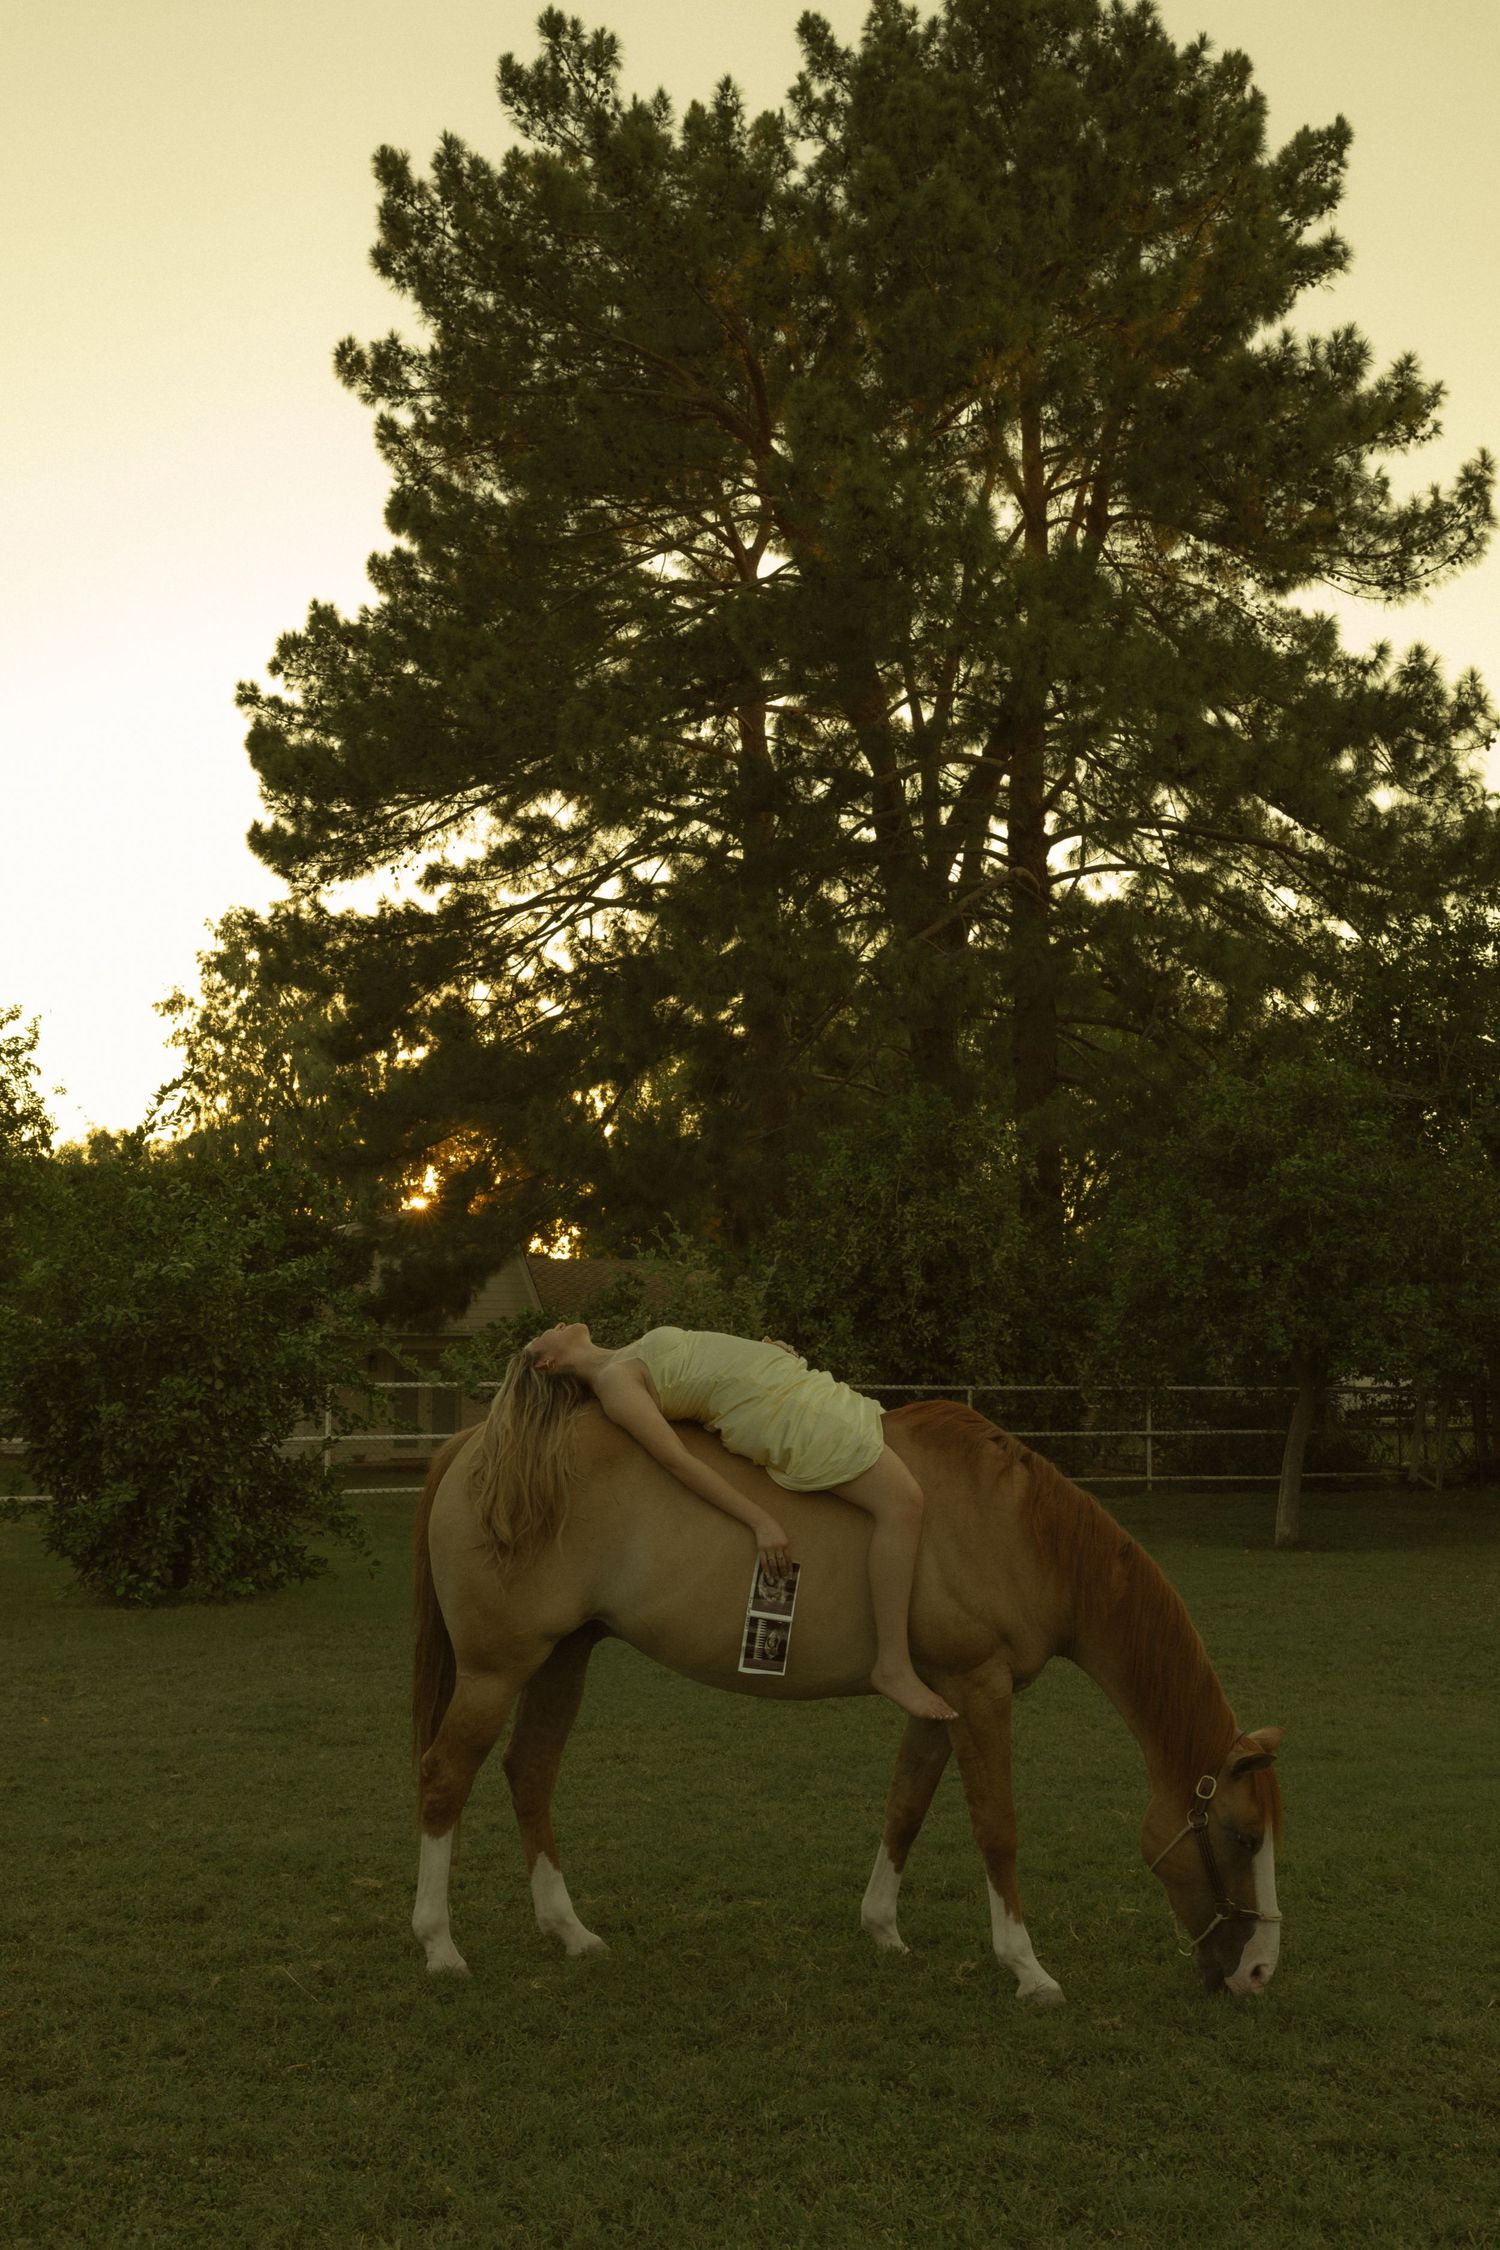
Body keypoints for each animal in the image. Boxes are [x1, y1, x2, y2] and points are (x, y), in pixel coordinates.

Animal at [410, 1397, 1284, 2001]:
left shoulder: (941, 1701)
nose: (1259, 1972)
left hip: (563, 1657)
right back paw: (440, 1947)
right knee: (445, 1780)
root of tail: (479, 1444)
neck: (1011, 1526)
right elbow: (996, 1829)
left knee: (530, 1771)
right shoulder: (981, 1689)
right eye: (1241, 1838)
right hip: (497, 1670)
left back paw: (569, 1931)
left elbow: (906, 1808)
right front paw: (1027, 1968)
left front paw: (883, 1929)